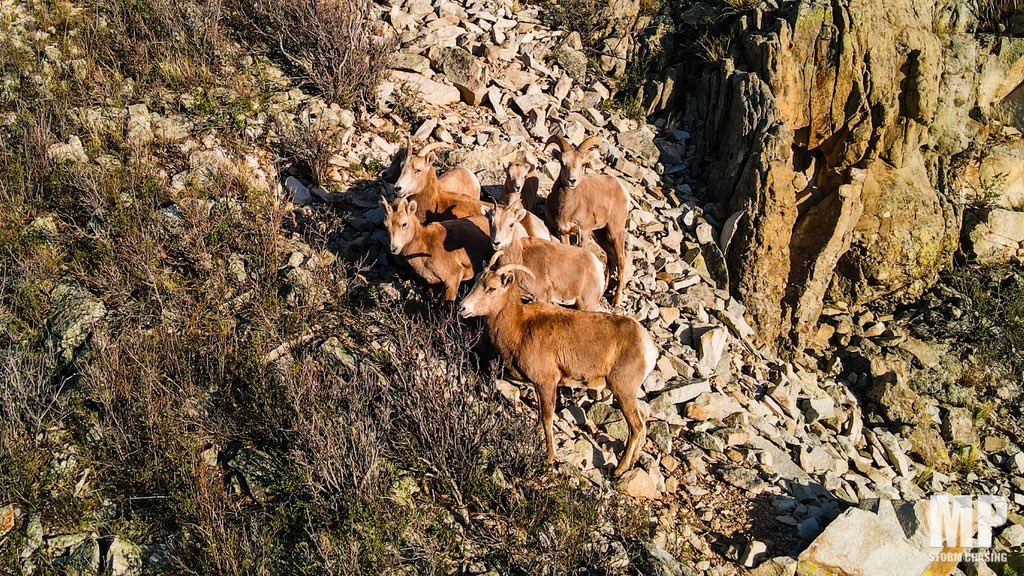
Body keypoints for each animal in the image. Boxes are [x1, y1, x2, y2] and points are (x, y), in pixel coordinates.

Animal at [458, 252, 655, 475]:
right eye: (476, 282)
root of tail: (648, 348)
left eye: (491, 288)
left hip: (623, 390)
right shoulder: (538, 385)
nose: (462, 308)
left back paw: (619, 470)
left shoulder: (547, 383)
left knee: (636, 425)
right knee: (643, 418)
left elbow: (547, 418)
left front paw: (550, 458)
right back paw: (633, 461)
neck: (520, 327)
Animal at [544, 134, 630, 305]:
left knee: (621, 260)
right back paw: (604, 292)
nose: (572, 180)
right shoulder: (563, 233)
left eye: (583, 164)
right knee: (611, 256)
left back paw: (616, 300)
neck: (567, 209)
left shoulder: (583, 232)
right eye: (562, 162)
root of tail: (622, 190)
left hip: (615, 231)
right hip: (600, 234)